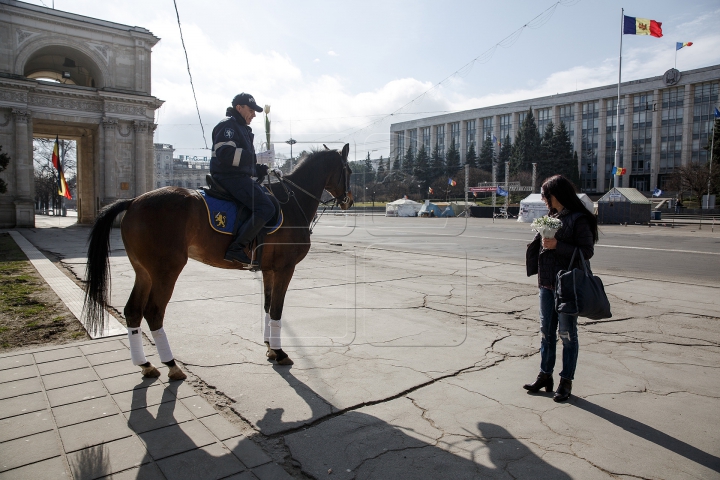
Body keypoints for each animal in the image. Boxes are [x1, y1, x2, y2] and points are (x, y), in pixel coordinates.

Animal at [83, 143, 352, 378]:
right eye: (348, 170)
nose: (349, 200)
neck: (293, 202)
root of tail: (134, 201)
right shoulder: (285, 269)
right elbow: (277, 309)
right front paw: (279, 351)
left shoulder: (268, 270)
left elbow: (267, 307)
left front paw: (269, 348)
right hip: (166, 270)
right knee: (154, 312)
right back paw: (171, 365)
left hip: (144, 272)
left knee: (133, 311)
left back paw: (145, 364)